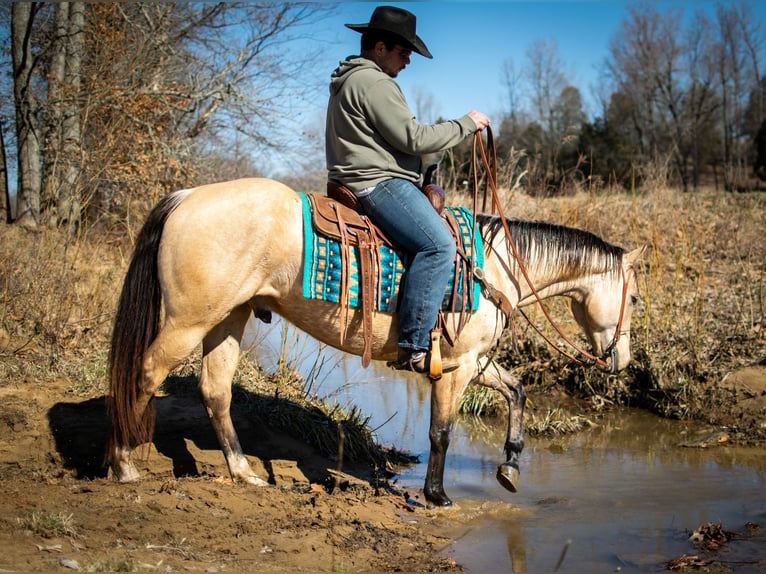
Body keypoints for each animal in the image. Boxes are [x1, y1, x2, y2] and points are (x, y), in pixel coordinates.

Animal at [106, 177, 648, 508]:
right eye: (638, 299)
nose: (621, 361)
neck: (493, 269)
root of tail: (186, 196)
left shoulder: (473, 362)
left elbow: (516, 391)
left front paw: (511, 464)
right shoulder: (455, 367)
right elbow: (441, 432)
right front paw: (437, 495)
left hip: (228, 317)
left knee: (215, 389)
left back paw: (243, 472)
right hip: (189, 321)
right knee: (146, 374)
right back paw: (124, 464)